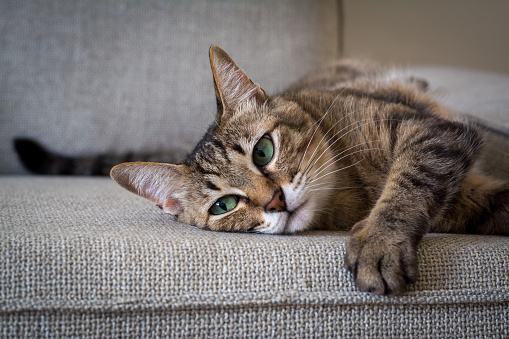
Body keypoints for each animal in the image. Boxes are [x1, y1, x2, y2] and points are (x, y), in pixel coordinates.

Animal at [14, 45, 508, 298]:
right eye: (224, 205)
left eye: (264, 150)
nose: (275, 201)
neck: (354, 190)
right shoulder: (466, 193)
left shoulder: (430, 132)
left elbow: (408, 183)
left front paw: (380, 241)